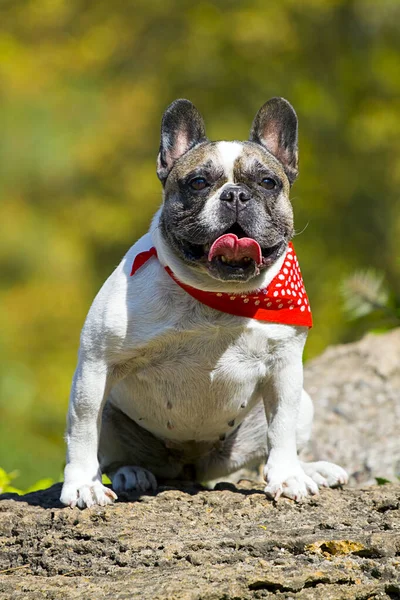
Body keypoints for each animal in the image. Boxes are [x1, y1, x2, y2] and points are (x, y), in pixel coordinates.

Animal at [59, 97, 346, 506]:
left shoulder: (285, 368)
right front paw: (83, 484)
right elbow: (83, 429)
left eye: (268, 182)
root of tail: (193, 469)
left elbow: (281, 428)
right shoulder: (96, 365)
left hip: (302, 404)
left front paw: (289, 477)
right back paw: (132, 473)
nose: (236, 194)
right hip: (114, 414)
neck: (217, 296)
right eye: (197, 183)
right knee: (114, 452)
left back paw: (312, 469)